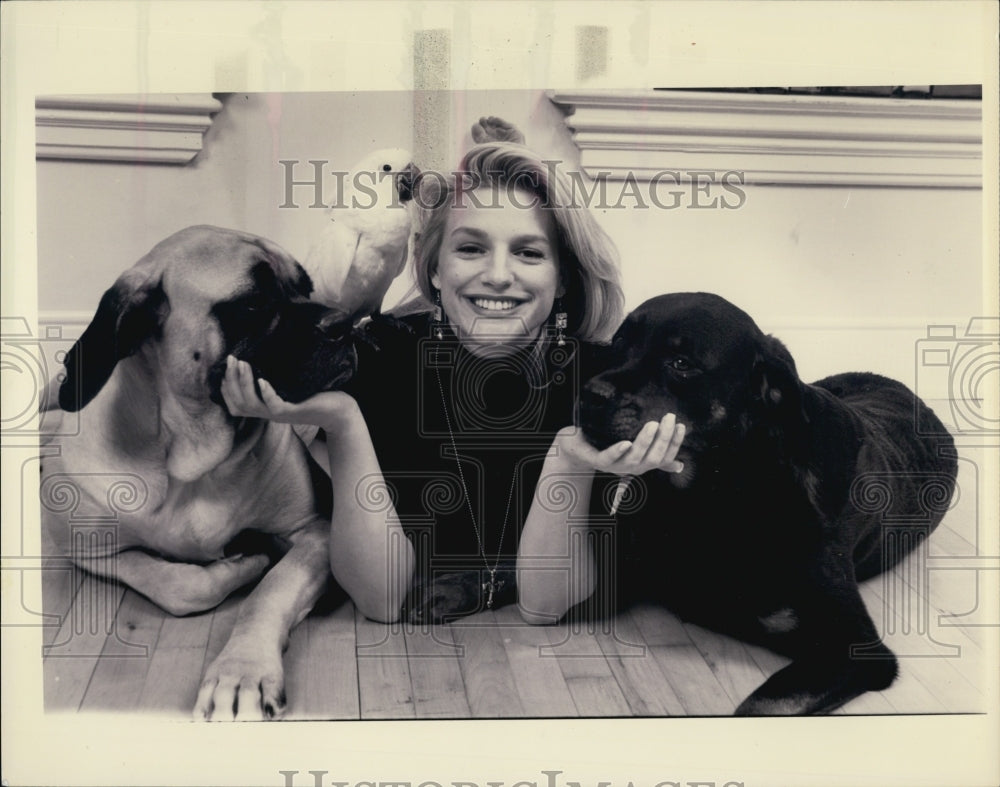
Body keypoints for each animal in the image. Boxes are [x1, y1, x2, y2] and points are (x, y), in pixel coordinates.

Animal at [42, 226, 356, 720]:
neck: (192, 458)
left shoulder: (315, 530)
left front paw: (241, 671)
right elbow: (176, 582)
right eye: (253, 303)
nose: (349, 323)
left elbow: (272, 590)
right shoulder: (86, 550)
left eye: (305, 288)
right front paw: (244, 564)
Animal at [580, 292, 960, 716]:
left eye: (680, 363)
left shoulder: (852, 649)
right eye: (618, 342)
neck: (711, 496)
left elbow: (760, 706)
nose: (590, 394)